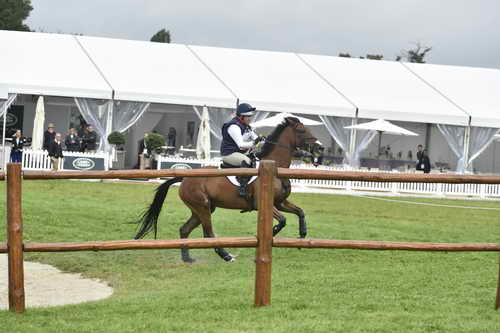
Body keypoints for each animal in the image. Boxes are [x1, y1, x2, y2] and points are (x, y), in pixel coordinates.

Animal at [133, 116, 320, 262]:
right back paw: (226, 255)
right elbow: (282, 220)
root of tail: (185, 178)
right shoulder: (263, 205)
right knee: (208, 234)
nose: (320, 148)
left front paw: (302, 235)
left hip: (202, 209)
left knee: (184, 229)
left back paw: (187, 258)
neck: (275, 168)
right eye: (302, 130)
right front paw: (272, 233)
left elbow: (300, 212)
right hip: (203, 207)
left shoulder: (280, 202)